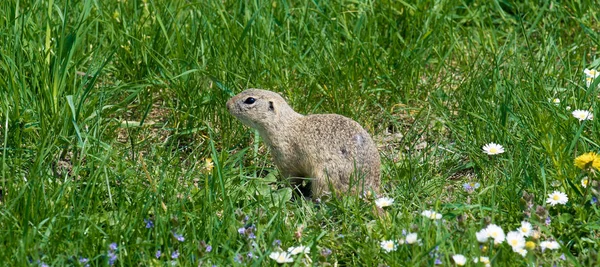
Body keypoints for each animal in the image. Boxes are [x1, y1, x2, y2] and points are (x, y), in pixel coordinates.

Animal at [225, 89, 380, 198]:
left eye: (250, 100)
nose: (227, 104)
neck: (284, 125)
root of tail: (370, 190)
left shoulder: (285, 159)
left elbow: (292, 180)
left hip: (324, 177)